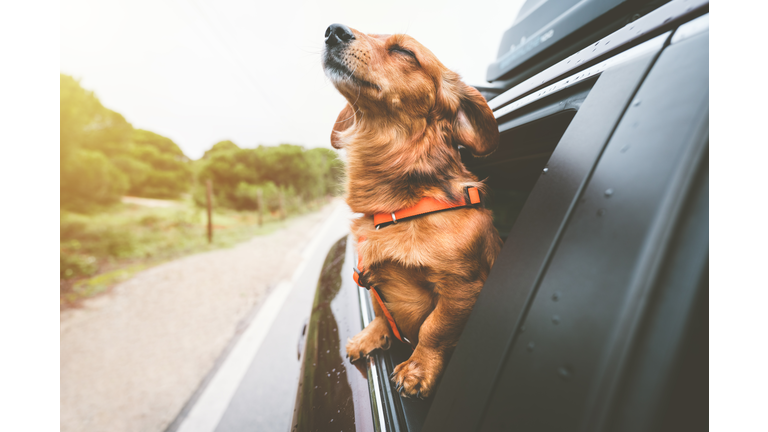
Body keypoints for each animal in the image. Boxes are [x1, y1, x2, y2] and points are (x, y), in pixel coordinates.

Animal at [320, 24, 500, 398]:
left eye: (404, 52)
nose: (333, 31)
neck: (398, 209)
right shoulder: (370, 277)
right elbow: (380, 309)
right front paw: (373, 335)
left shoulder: (462, 288)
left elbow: (435, 328)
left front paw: (418, 368)